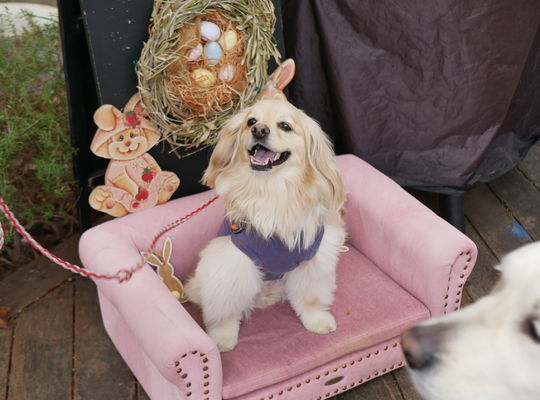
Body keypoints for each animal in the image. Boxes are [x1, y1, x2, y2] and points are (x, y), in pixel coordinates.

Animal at [185, 96, 346, 352]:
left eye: (285, 126)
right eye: (251, 121)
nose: (259, 130)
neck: (272, 190)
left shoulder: (313, 259)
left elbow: (310, 298)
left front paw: (317, 321)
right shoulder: (230, 261)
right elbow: (225, 311)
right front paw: (222, 338)